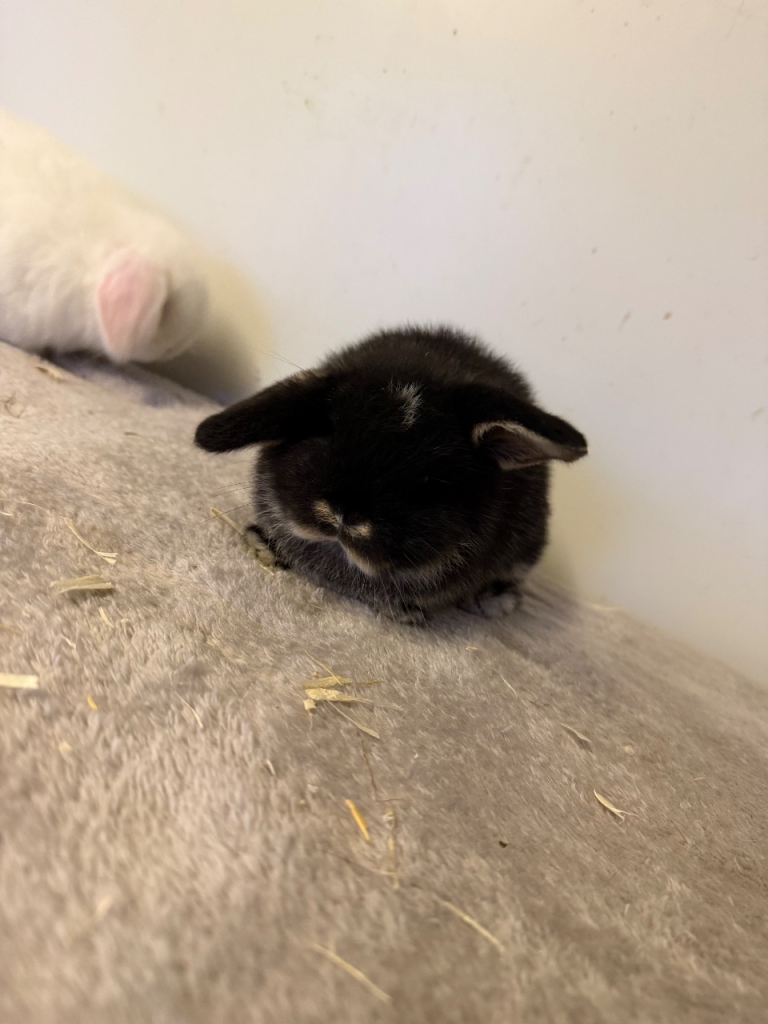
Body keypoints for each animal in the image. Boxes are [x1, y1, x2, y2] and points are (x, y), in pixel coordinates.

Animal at [195, 325, 588, 621]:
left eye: (432, 477)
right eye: (325, 431)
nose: (342, 515)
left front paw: (407, 613)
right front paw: (261, 542)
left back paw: (494, 600)